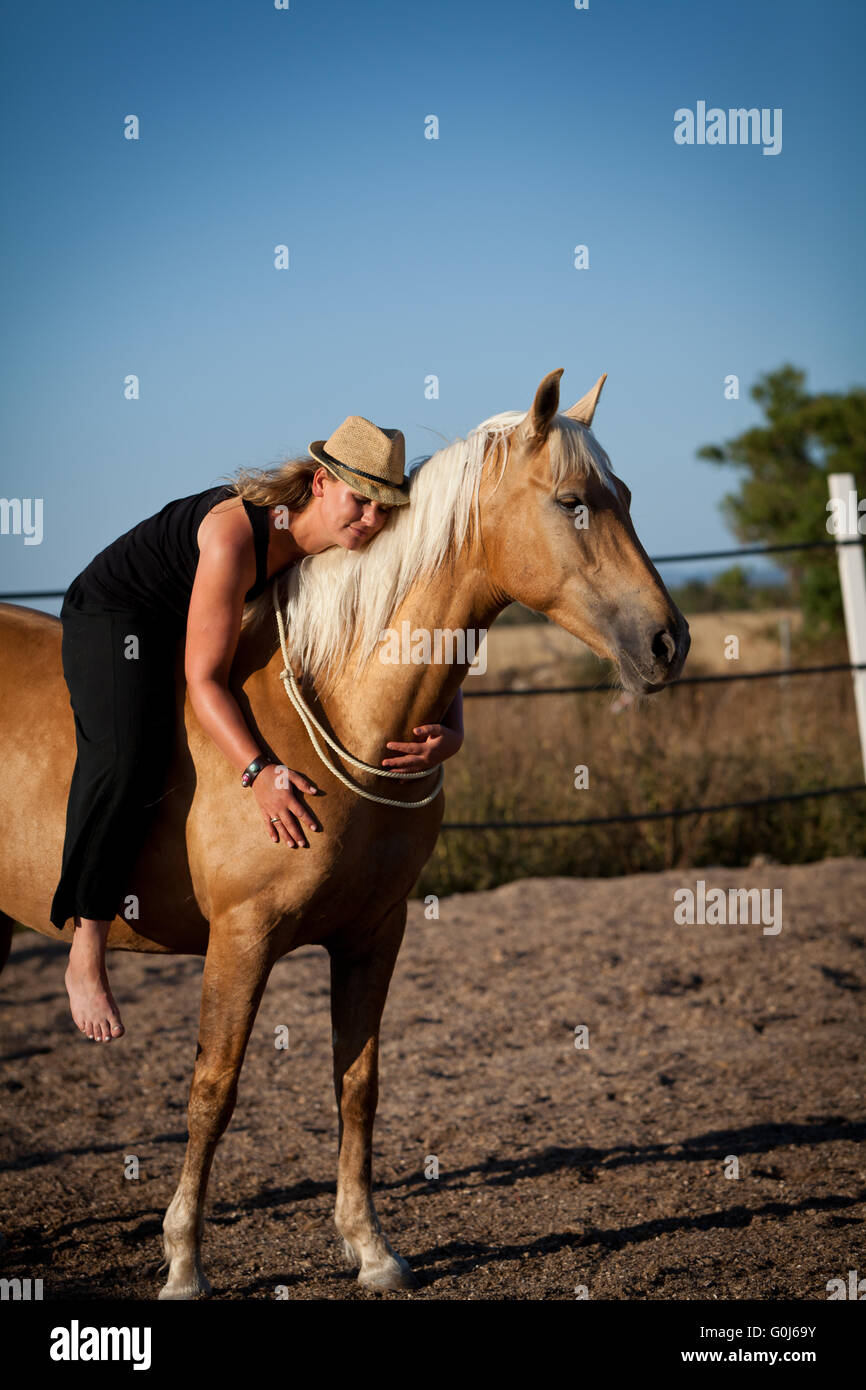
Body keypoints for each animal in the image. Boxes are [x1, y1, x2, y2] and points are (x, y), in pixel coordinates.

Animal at [0, 366, 692, 1289]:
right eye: (574, 501)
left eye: (627, 496)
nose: (667, 642)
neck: (337, 707)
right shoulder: (242, 938)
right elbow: (214, 1088)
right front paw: (183, 1264)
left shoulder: (374, 934)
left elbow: (357, 1084)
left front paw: (369, 1249)